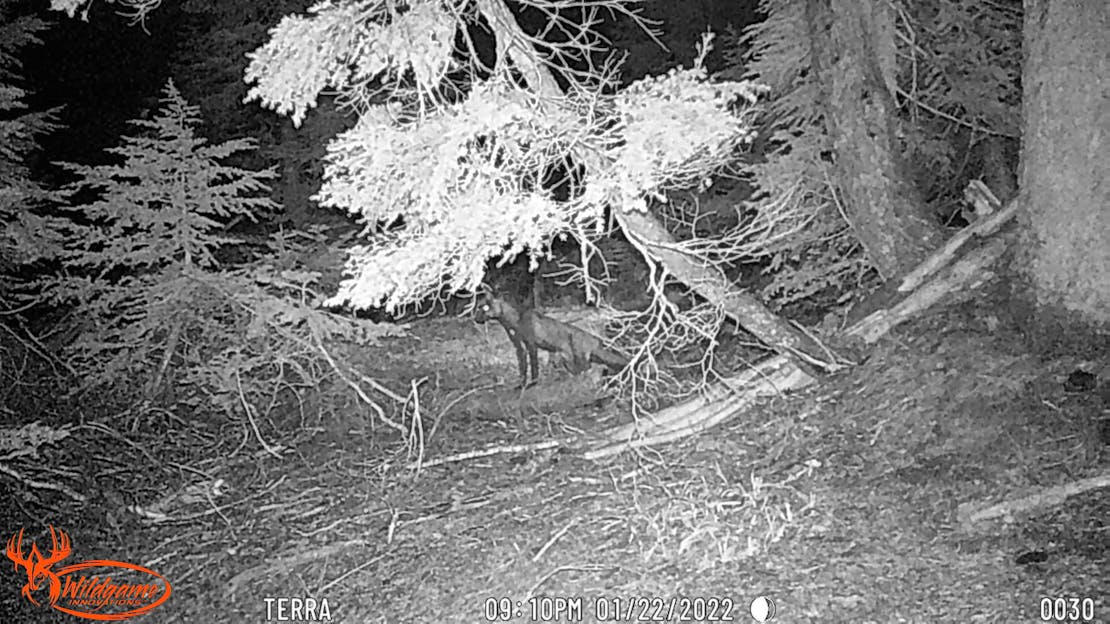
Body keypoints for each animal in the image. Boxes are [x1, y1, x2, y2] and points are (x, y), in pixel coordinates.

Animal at [474, 293, 629, 387]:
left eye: (485, 307)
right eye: (477, 308)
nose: (475, 318)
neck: (513, 322)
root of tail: (596, 340)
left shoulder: (531, 345)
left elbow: (534, 366)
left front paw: (533, 383)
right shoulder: (519, 347)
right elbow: (523, 368)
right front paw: (521, 385)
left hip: (579, 358)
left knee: (594, 370)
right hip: (567, 360)